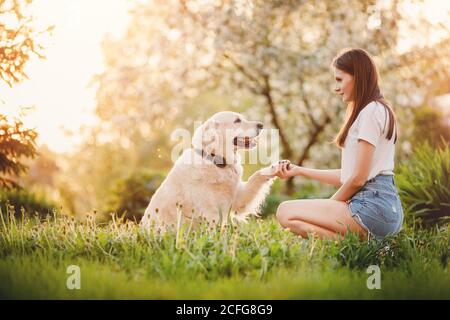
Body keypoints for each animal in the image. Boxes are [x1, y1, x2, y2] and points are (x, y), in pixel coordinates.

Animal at [142, 110, 282, 230]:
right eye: (237, 120)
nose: (261, 125)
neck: (216, 161)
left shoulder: (238, 198)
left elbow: (256, 176)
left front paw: (276, 167)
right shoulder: (210, 213)